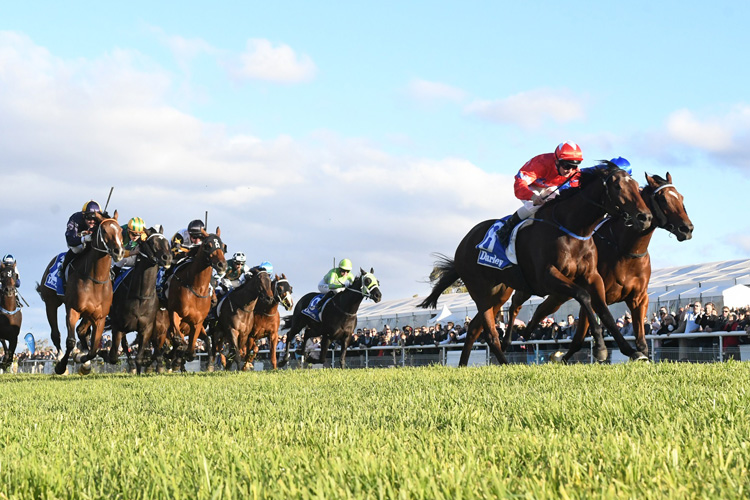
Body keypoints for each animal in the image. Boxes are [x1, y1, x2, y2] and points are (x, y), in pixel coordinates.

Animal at [95, 226, 172, 372]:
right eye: (152, 242)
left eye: (166, 242)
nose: (167, 258)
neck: (141, 296)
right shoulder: (118, 326)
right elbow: (113, 356)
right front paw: (102, 352)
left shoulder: (147, 329)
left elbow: (140, 357)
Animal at [163, 229, 225, 370]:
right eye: (208, 245)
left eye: (223, 246)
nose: (221, 265)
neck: (196, 288)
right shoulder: (175, 313)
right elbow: (179, 339)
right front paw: (178, 355)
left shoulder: (197, 323)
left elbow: (191, 348)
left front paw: (184, 356)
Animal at [420, 162, 656, 366]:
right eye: (617, 186)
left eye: (637, 186)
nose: (645, 217)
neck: (572, 228)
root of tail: (463, 244)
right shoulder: (547, 277)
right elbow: (584, 296)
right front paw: (599, 347)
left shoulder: (592, 276)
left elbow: (604, 311)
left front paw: (633, 351)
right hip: (480, 291)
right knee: (490, 332)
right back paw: (505, 362)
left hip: (498, 293)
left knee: (474, 328)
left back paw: (464, 364)